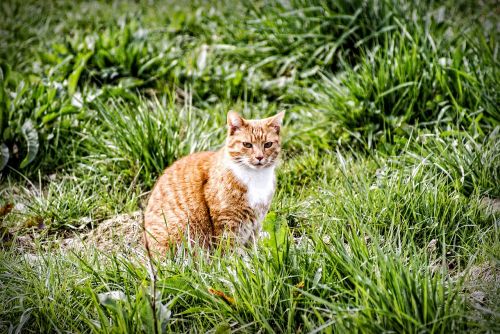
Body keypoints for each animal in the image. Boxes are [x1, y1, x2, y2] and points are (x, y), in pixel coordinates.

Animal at [145, 110, 286, 253]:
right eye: (247, 145)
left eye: (268, 144)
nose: (259, 157)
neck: (256, 178)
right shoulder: (227, 221)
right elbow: (229, 249)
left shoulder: (256, 222)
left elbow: (252, 246)